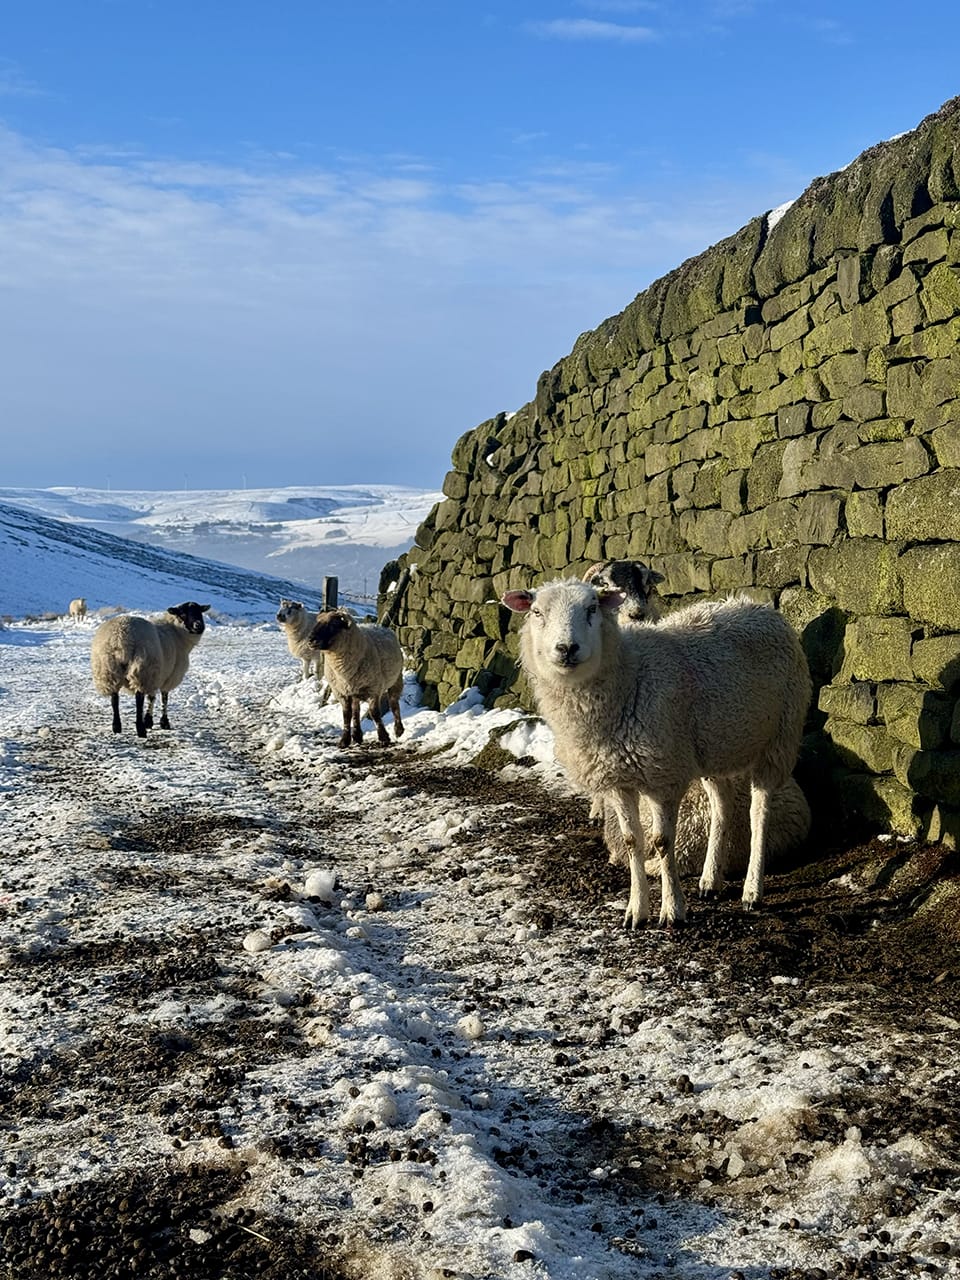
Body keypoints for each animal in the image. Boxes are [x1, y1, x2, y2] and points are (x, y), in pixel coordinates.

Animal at [90, 601, 209, 742]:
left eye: (200, 611)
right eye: (183, 614)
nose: (199, 625)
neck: (176, 632)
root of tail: (120, 637)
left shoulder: (157, 674)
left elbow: (152, 697)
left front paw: (149, 721)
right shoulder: (166, 676)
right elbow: (163, 698)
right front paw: (161, 722)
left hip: (108, 669)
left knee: (115, 698)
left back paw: (117, 726)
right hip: (143, 668)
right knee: (139, 698)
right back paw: (140, 729)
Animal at [304, 611, 401, 747]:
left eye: (333, 625)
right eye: (317, 622)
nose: (310, 640)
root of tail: (380, 626)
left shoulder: (373, 688)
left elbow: (374, 713)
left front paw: (383, 737)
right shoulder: (341, 692)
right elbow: (346, 714)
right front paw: (344, 740)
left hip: (396, 679)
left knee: (394, 704)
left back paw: (398, 730)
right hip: (354, 690)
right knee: (356, 711)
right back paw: (357, 735)